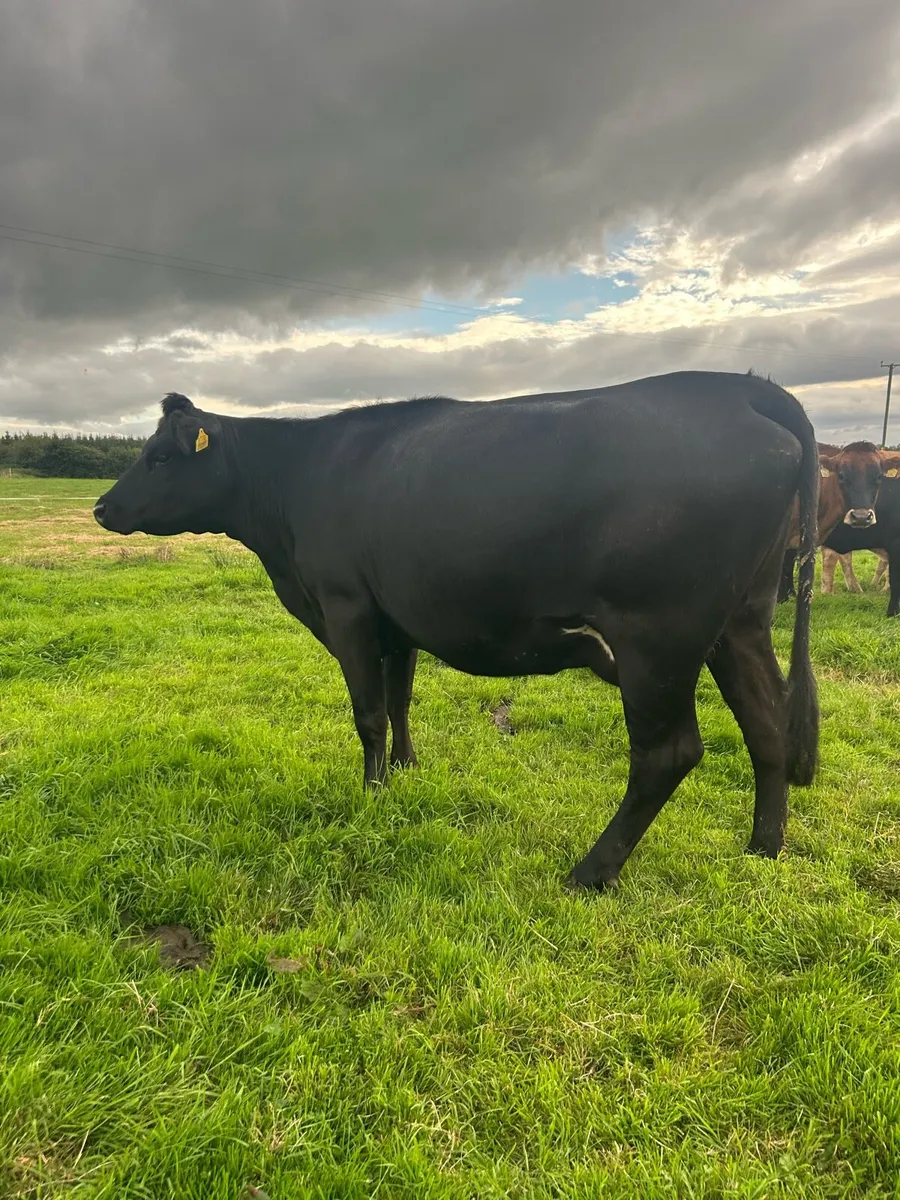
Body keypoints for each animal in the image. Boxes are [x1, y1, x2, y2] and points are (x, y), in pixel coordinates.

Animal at [93, 370, 820, 891]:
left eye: (159, 458)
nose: (101, 507)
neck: (295, 487)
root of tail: (733, 386)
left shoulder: (347, 608)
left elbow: (367, 713)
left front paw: (373, 794)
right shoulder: (396, 618)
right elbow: (399, 699)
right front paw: (407, 771)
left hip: (657, 637)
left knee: (668, 754)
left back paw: (591, 872)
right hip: (742, 620)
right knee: (765, 723)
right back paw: (763, 848)